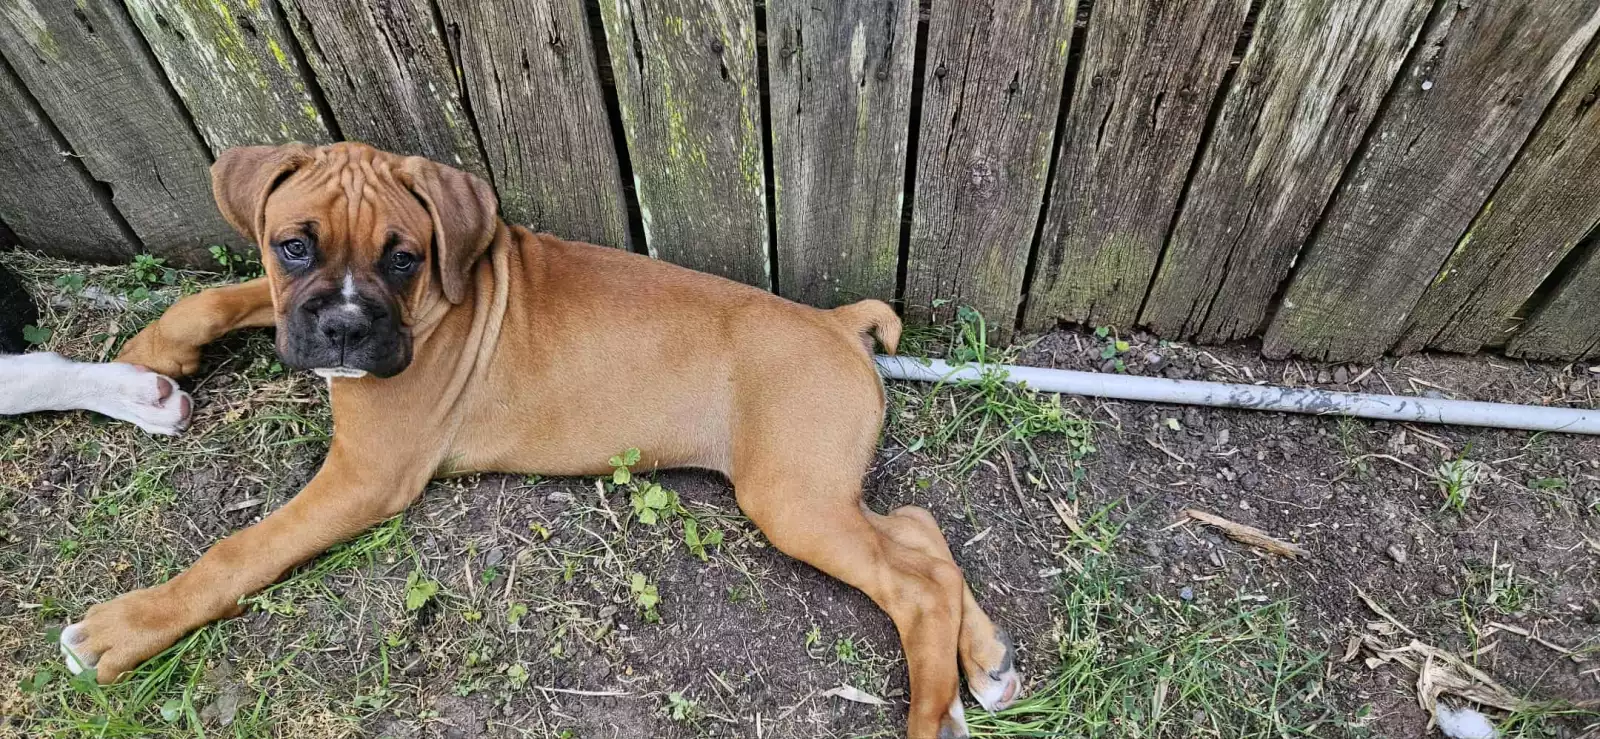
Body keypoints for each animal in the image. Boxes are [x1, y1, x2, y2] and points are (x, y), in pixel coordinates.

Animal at [57, 142, 1020, 739]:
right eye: (294, 246)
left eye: (404, 257)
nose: (344, 330)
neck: (442, 297)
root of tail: (837, 322)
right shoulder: (288, 312)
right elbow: (229, 292)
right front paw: (153, 354)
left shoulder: (364, 475)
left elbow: (240, 549)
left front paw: (127, 626)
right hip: (814, 488)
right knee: (923, 537)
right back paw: (982, 671)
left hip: (791, 498)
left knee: (915, 580)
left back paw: (932, 712)